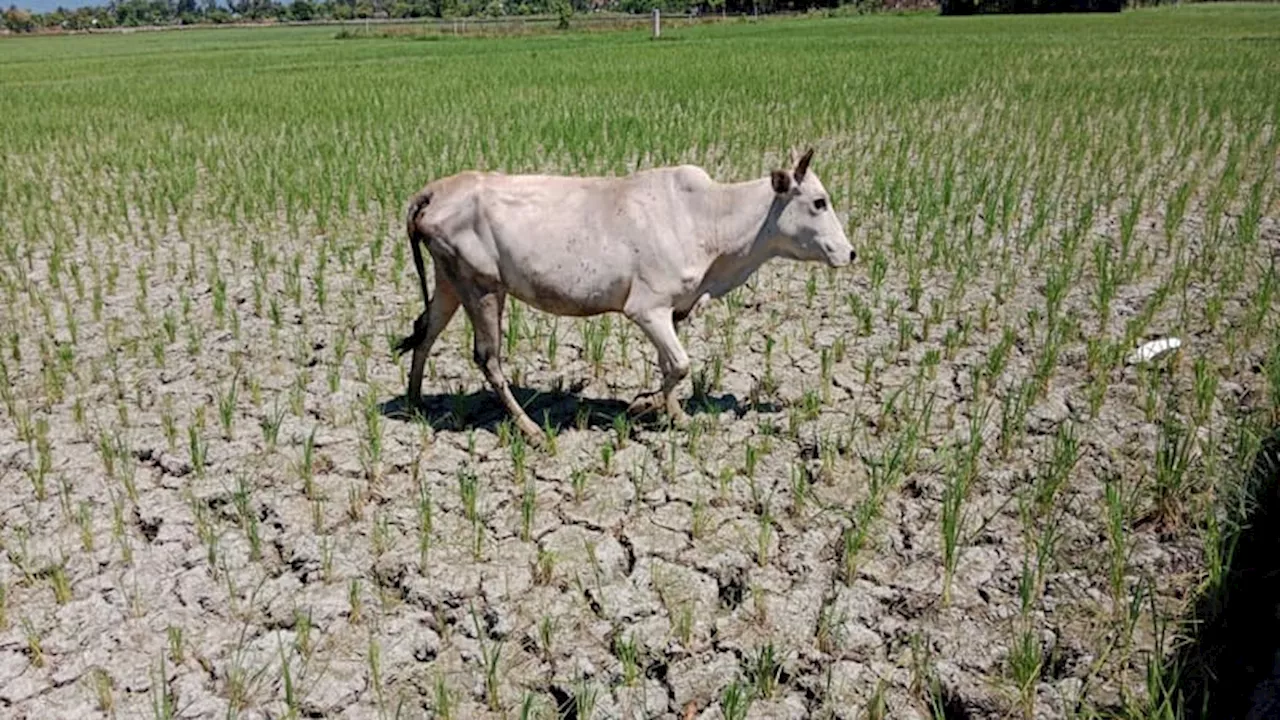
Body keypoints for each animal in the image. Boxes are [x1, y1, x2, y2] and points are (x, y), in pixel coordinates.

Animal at [389, 147, 849, 443]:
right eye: (818, 202)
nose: (850, 252)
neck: (707, 218)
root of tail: (436, 190)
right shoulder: (647, 309)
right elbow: (680, 365)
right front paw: (647, 407)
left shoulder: (672, 312)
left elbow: (670, 367)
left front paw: (672, 414)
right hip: (481, 285)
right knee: (488, 358)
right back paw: (531, 430)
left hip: (450, 281)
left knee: (425, 333)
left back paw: (414, 403)